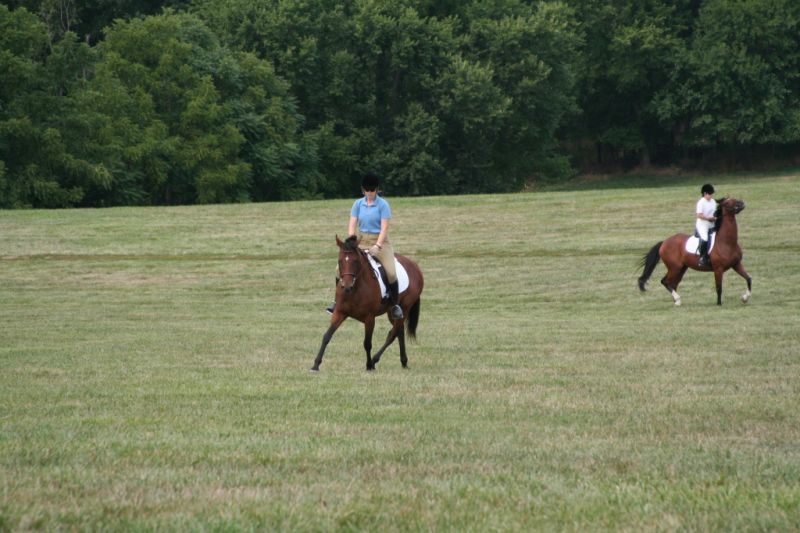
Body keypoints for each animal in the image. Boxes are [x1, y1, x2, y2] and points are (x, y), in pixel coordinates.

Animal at [311, 235, 424, 372]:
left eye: (355, 261)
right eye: (340, 261)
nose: (346, 287)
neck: (355, 289)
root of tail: (415, 267)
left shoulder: (369, 318)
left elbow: (367, 343)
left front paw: (369, 365)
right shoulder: (340, 312)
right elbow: (327, 336)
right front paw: (316, 365)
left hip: (405, 307)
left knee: (392, 334)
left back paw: (375, 360)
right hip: (392, 312)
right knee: (399, 331)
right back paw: (404, 361)